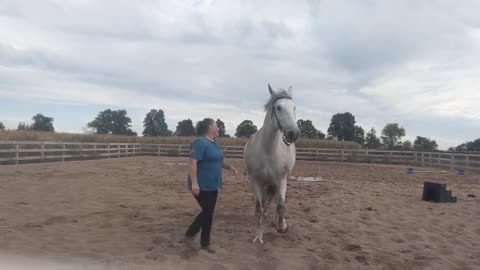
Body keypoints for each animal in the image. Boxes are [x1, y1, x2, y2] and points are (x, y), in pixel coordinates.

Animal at [244, 83, 300, 244]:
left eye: (294, 107)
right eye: (278, 107)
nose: (294, 133)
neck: (268, 150)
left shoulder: (281, 180)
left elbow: (281, 206)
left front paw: (282, 226)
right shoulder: (256, 181)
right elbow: (258, 208)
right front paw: (258, 236)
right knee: (265, 201)